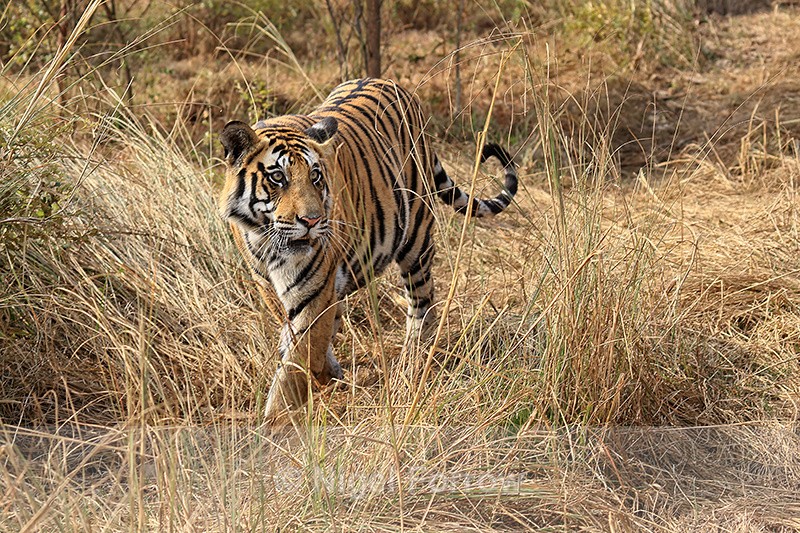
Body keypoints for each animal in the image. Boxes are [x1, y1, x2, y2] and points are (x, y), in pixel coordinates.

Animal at [219, 78, 518, 421]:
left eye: (315, 176)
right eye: (278, 177)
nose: (312, 221)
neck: (266, 241)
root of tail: (397, 86)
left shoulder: (313, 292)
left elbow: (295, 365)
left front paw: (275, 422)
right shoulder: (273, 287)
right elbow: (298, 341)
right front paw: (326, 374)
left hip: (416, 241)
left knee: (422, 304)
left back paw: (413, 363)